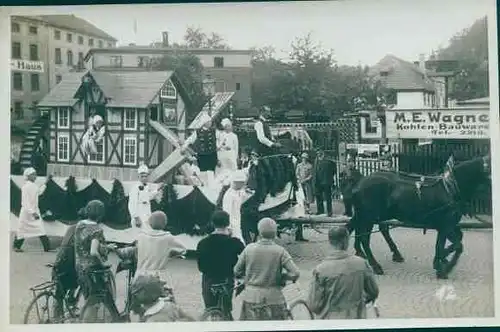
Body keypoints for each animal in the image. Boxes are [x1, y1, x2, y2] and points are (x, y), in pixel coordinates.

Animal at [350, 155, 490, 278]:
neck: (450, 188)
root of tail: (360, 183)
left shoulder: (449, 225)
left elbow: (455, 240)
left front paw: (441, 260)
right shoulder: (445, 225)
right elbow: (455, 245)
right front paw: (443, 267)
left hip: (371, 215)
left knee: (362, 228)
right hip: (369, 216)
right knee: (365, 238)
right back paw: (375, 265)